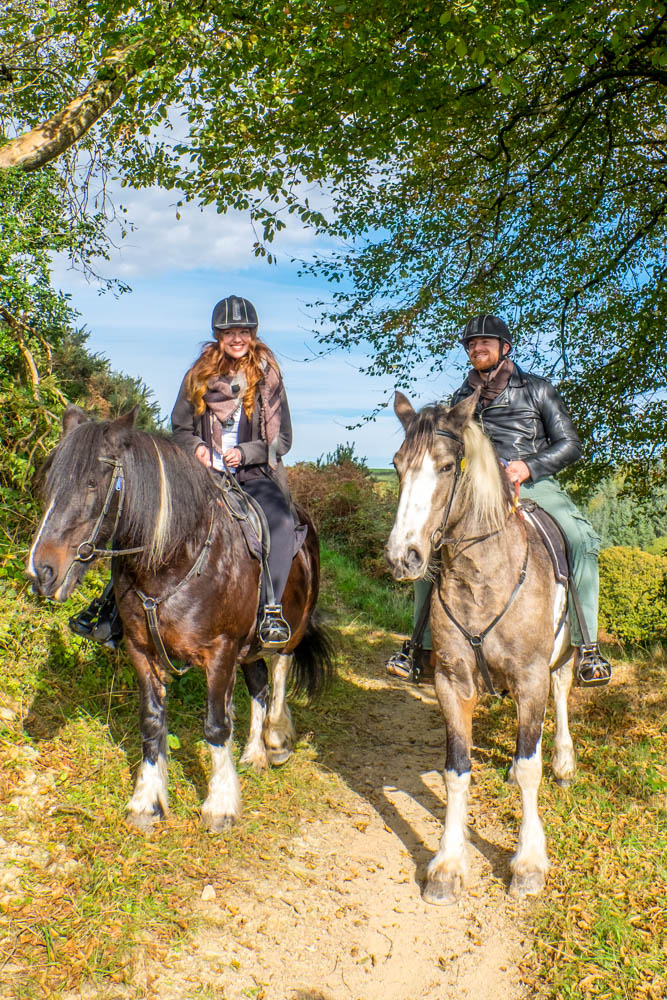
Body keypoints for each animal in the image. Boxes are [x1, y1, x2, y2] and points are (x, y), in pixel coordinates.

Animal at [26, 402, 334, 832]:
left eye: (92, 483)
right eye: (49, 482)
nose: (40, 572)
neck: (178, 559)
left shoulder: (220, 652)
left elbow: (216, 725)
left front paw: (220, 804)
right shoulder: (141, 649)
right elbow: (152, 720)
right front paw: (146, 801)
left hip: (288, 630)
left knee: (279, 676)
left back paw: (275, 740)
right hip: (248, 649)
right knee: (259, 687)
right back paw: (254, 753)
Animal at [388, 390, 576, 908]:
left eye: (447, 466)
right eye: (396, 466)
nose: (402, 558)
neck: (483, 578)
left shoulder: (530, 675)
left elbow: (531, 769)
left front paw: (529, 863)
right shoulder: (452, 681)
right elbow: (457, 770)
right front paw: (448, 866)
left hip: (563, 656)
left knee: (560, 693)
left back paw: (563, 760)